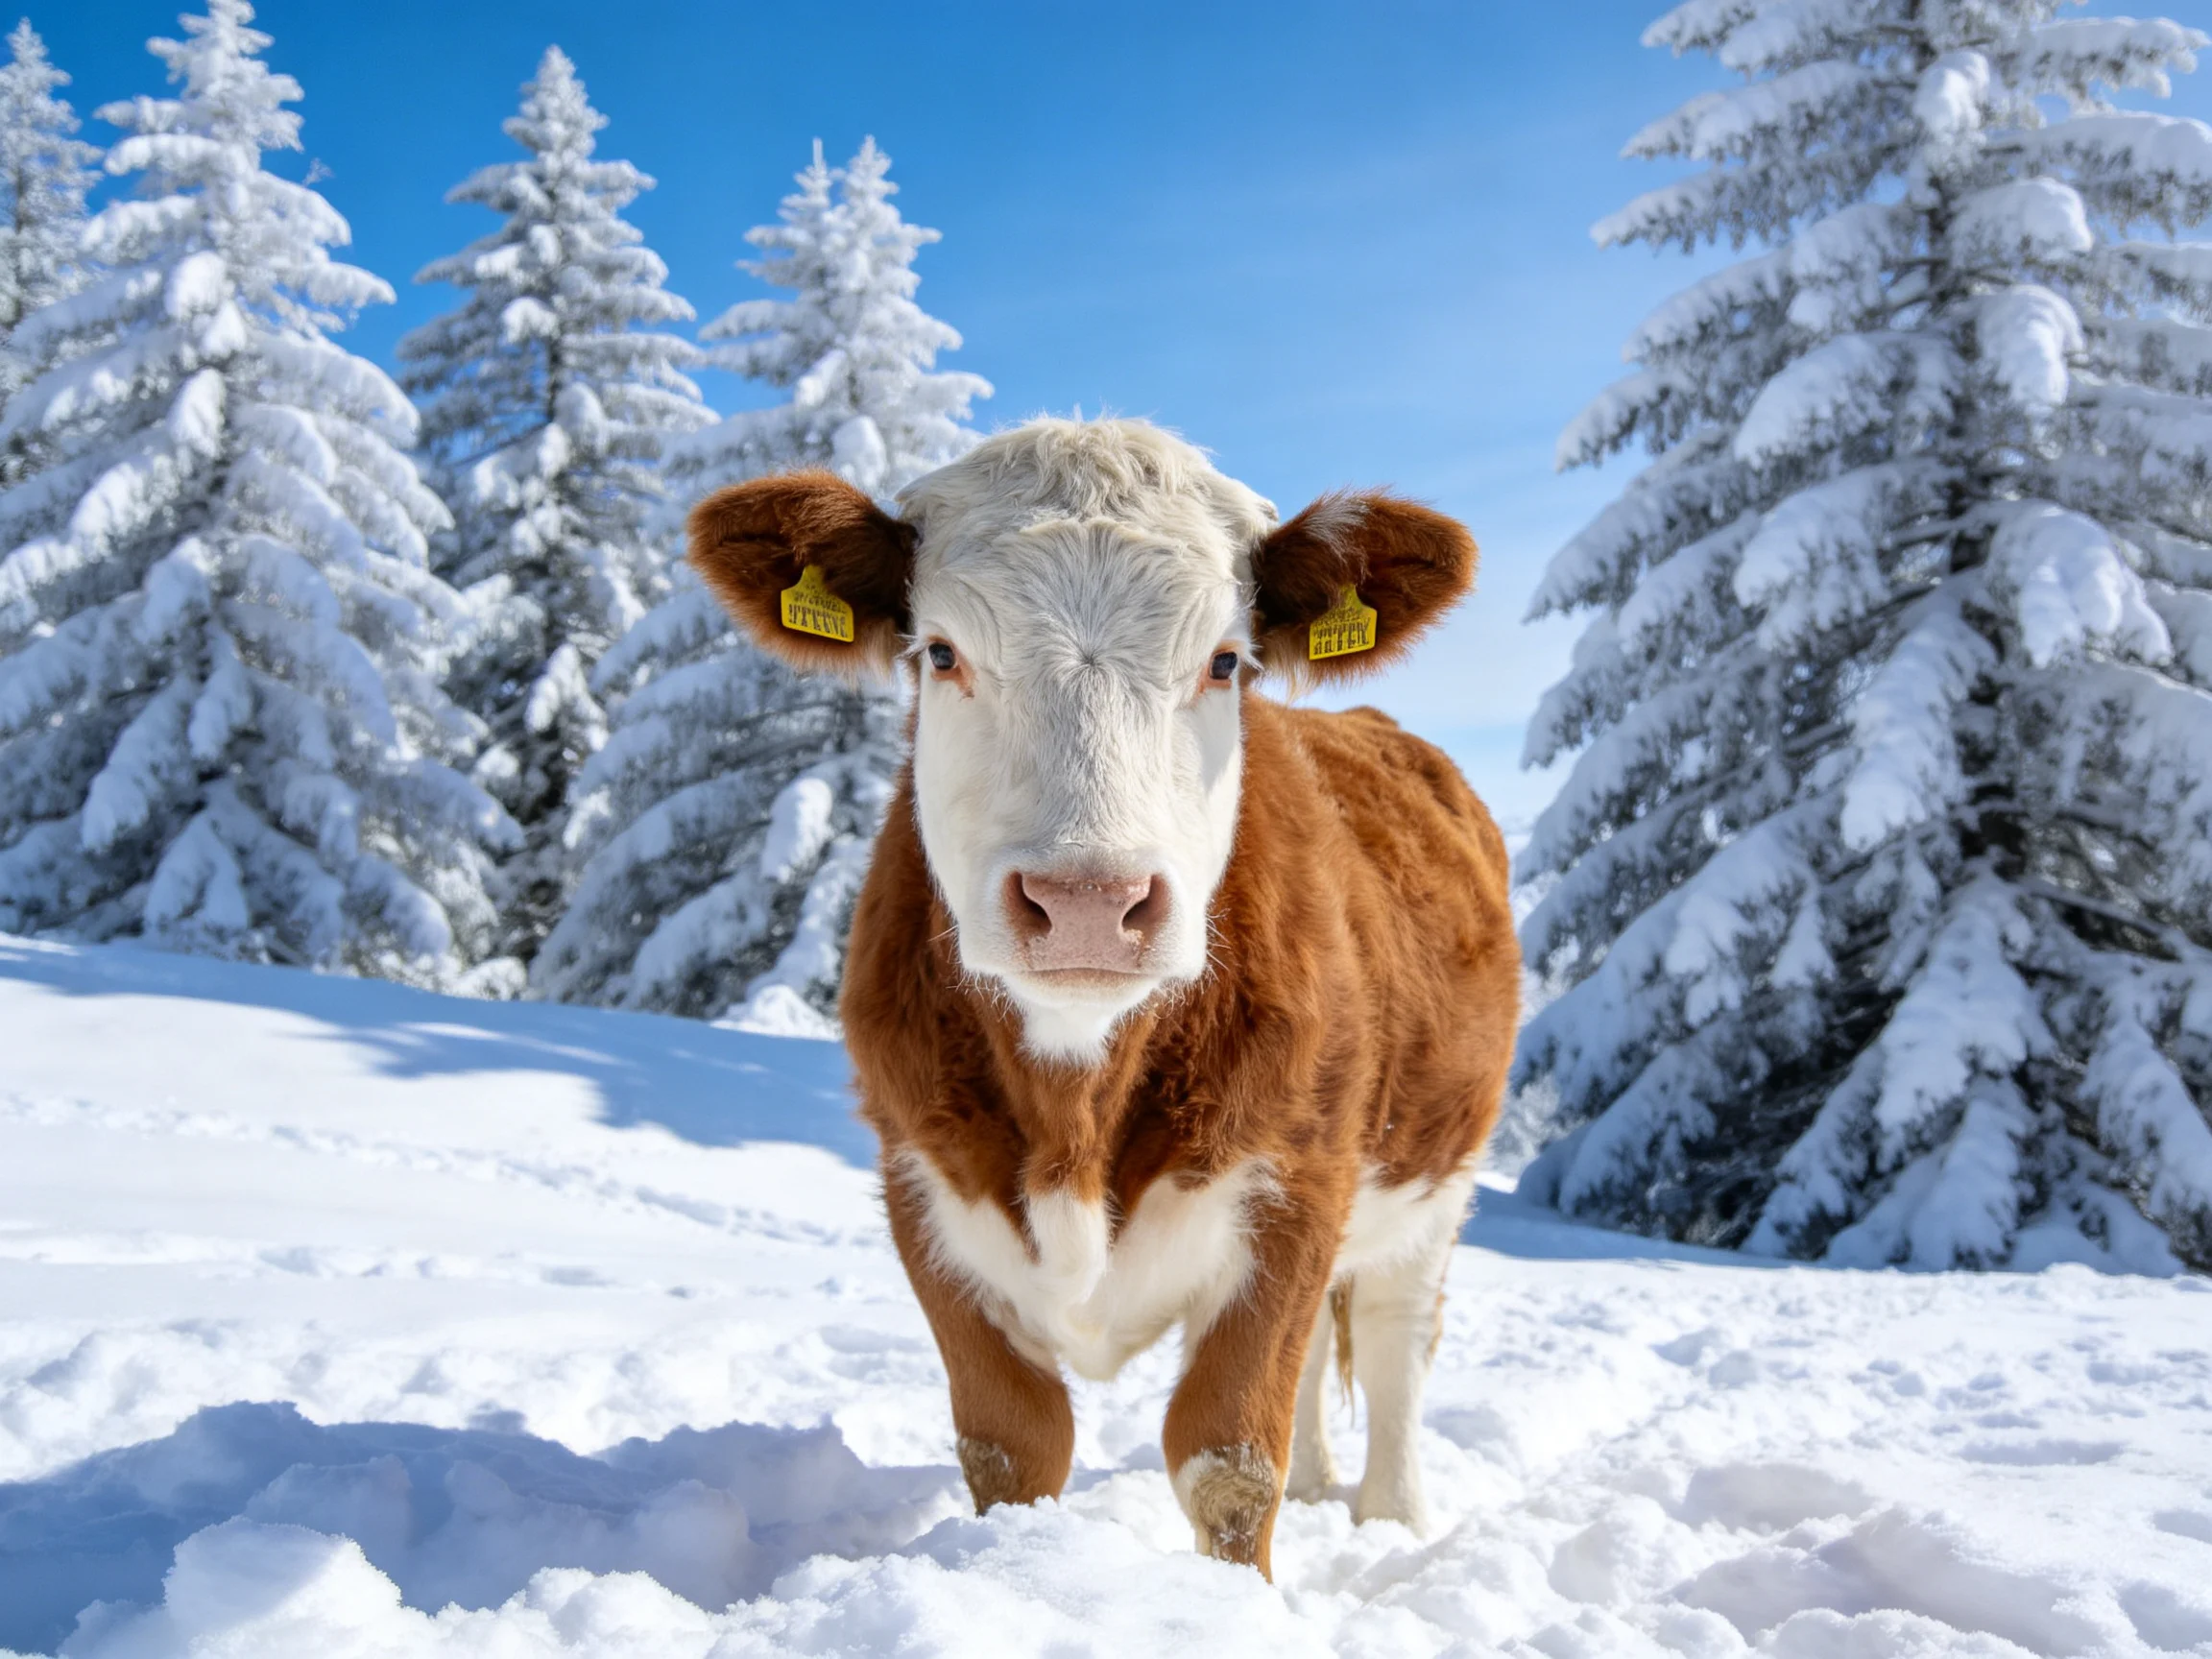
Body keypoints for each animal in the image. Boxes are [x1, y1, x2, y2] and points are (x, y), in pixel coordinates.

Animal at [688, 418, 1517, 1579]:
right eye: (941, 653)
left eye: (1225, 661)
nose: (1088, 902)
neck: (1075, 1112)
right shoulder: (921, 1182)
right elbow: (1011, 1443)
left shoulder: (1297, 1183)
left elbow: (1228, 1454)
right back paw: (1321, 1489)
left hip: (1437, 1177)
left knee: (1397, 1337)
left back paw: (1390, 1519)